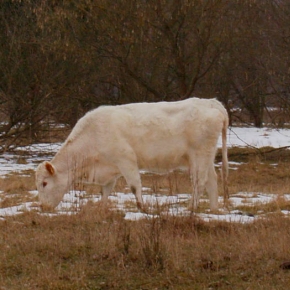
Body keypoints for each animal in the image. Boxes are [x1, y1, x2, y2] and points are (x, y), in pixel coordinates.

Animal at [35, 97, 228, 211]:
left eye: (44, 183)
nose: (43, 207)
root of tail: (209, 101)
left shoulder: (126, 159)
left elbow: (135, 185)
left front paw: (142, 208)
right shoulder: (109, 169)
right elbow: (105, 191)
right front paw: (102, 207)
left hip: (199, 157)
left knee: (199, 182)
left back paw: (192, 208)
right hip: (206, 157)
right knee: (212, 181)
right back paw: (213, 209)